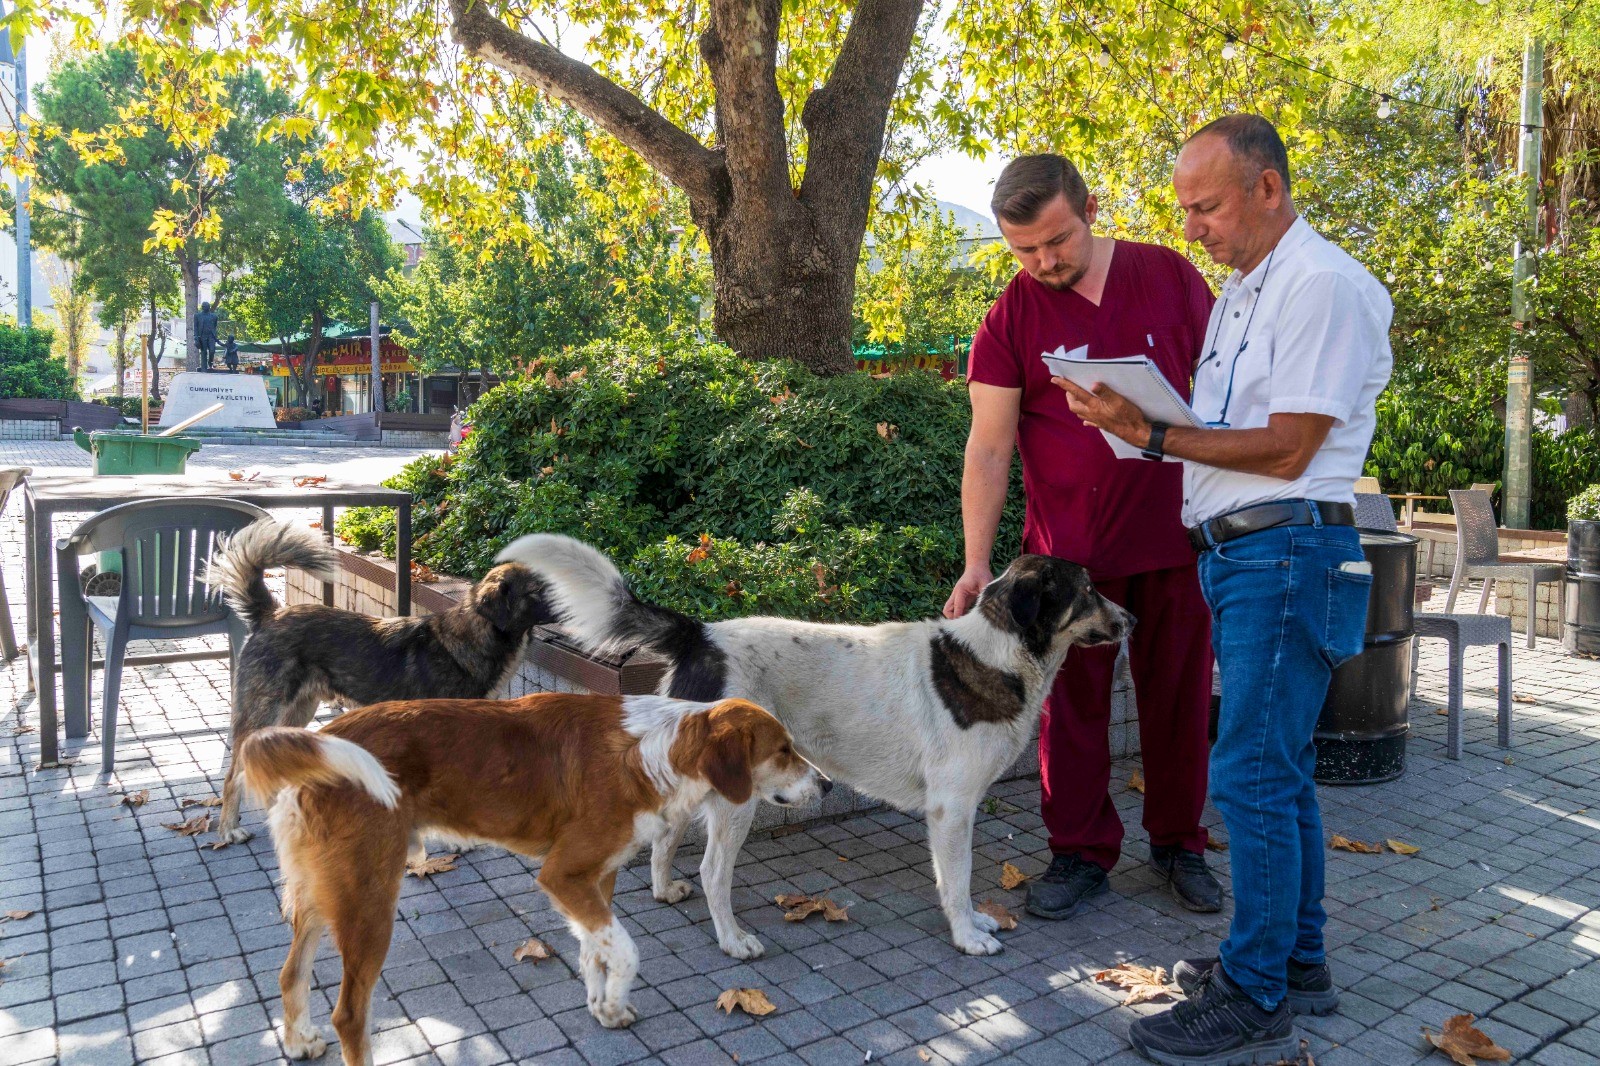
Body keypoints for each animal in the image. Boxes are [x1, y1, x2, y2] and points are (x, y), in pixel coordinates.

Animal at [240, 688, 825, 1056]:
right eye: (784, 750)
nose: (827, 785)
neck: (655, 751)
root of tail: (323, 735)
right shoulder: (562, 875)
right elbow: (628, 952)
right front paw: (615, 999)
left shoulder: (594, 878)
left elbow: (597, 952)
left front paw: (604, 1008)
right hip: (369, 900)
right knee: (348, 1015)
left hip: (325, 893)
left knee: (290, 975)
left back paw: (299, 1042)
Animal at [492, 531, 1132, 953]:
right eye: (1088, 589)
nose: (1130, 620)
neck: (997, 655)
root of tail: (702, 633)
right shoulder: (952, 811)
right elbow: (959, 881)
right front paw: (968, 935)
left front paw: (974, 924)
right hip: (738, 800)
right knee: (713, 872)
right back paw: (732, 940)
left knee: (664, 841)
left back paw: (664, 890)